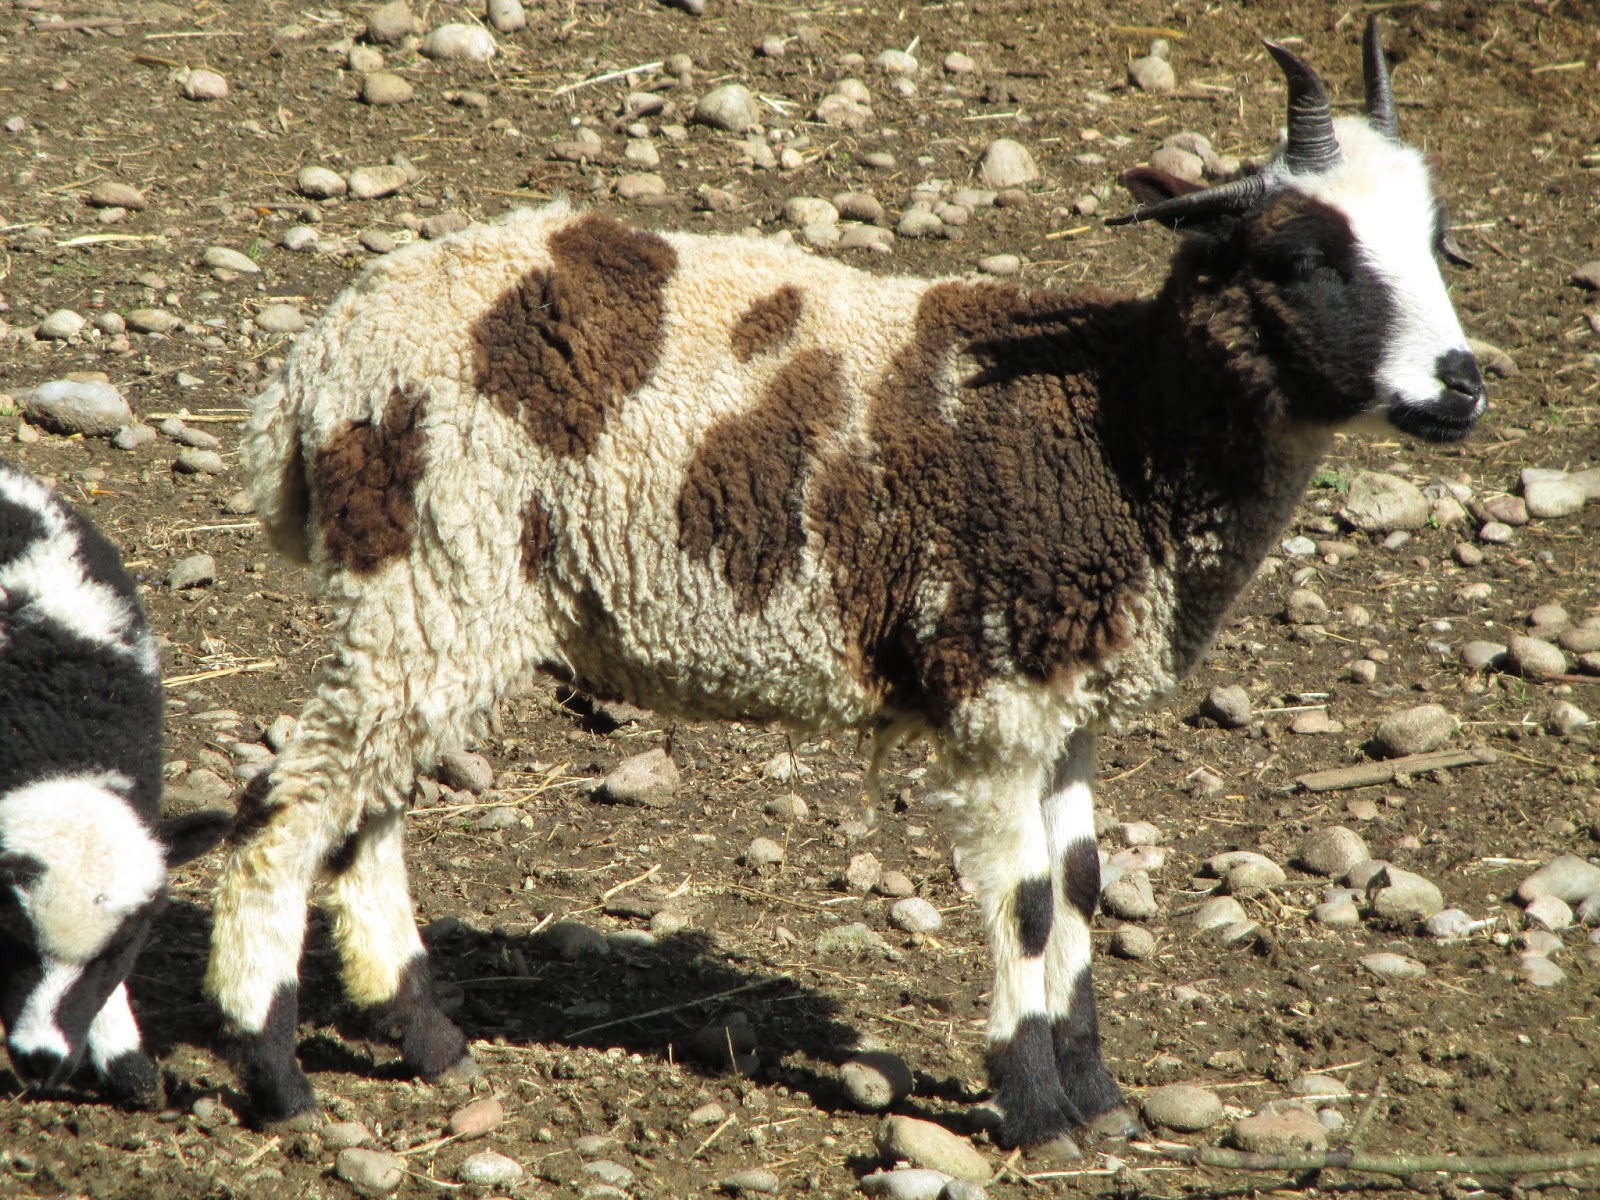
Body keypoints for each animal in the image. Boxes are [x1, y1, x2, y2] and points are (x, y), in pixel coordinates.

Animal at [209, 20, 1484, 1147]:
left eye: (1435, 237)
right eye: (1300, 256)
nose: (1461, 386)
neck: (1115, 422)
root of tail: (311, 370)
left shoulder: (1067, 704)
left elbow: (1078, 887)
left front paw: (1100, 1098)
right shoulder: (993, 689)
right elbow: (1025, 903)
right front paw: (1037, 1111)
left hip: (439, 598)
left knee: (364, 811)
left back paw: (427, 1041)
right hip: (433, 574)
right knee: (288, 807)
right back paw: (275, 1073)